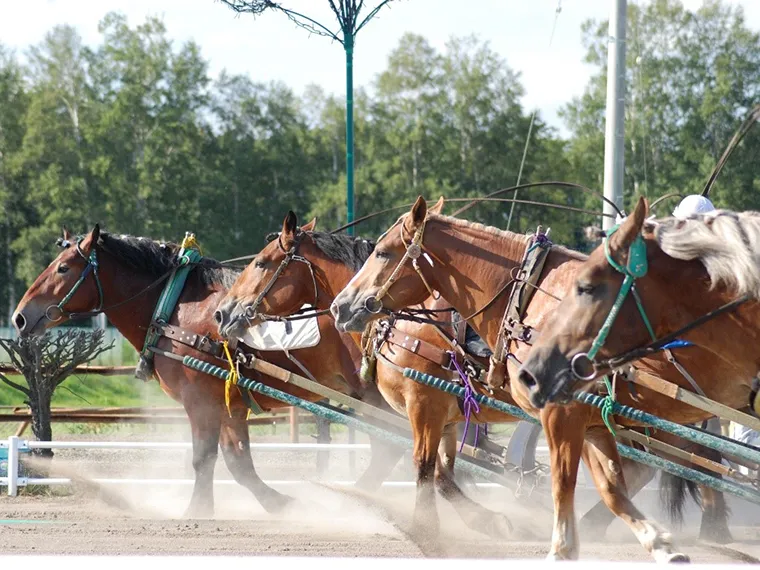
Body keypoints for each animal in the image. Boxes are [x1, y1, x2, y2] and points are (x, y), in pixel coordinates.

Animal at [10, 224, 404, 516]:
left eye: (63, 268)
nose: (19, 316)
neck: (176, 306)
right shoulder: (229, 402)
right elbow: (238, 462)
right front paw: (277, 503)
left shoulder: (200, 400)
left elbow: (203, 458)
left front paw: (197, 510)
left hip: (374, 398)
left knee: (389, 450)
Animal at [214, 207, 520, 536]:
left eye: (261, 262)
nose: (223, 313)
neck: (399, 324)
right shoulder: (443, 414)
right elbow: (441, 473)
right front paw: (488, 520)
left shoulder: (424, 405)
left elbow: (424, 466)